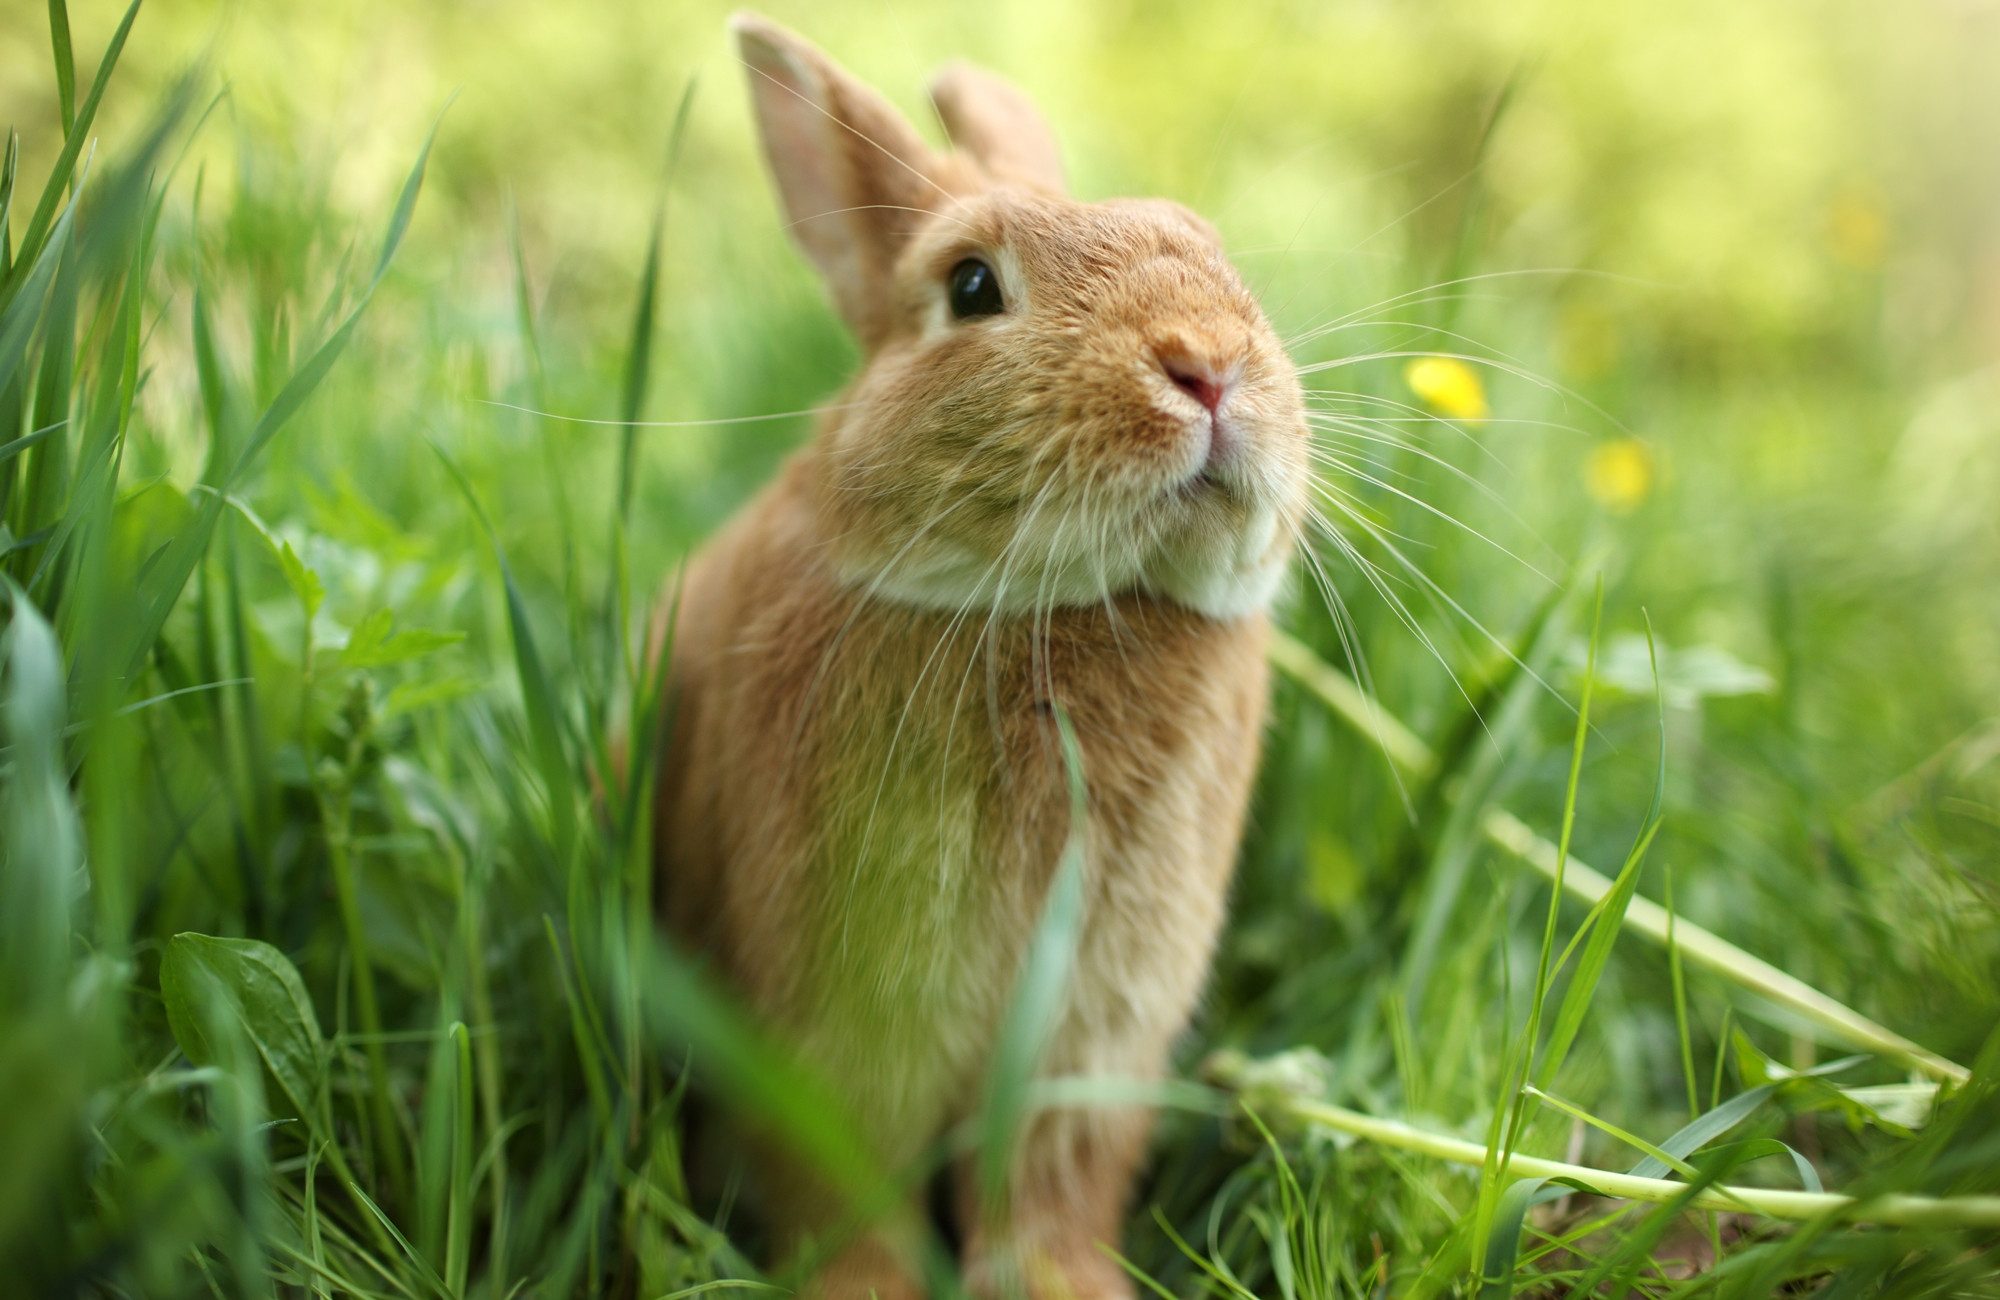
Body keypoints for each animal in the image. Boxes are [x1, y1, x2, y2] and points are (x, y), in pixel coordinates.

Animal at [653, 13, 1310, 1299]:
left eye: (1212, 252)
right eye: (968, 285)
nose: (1206, 365)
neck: (1058, 612)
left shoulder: (1095, 1033)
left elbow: (1050, 1182)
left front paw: (1064, 1283)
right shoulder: (835, 1023)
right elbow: (840, 1179)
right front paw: (864, 1290)